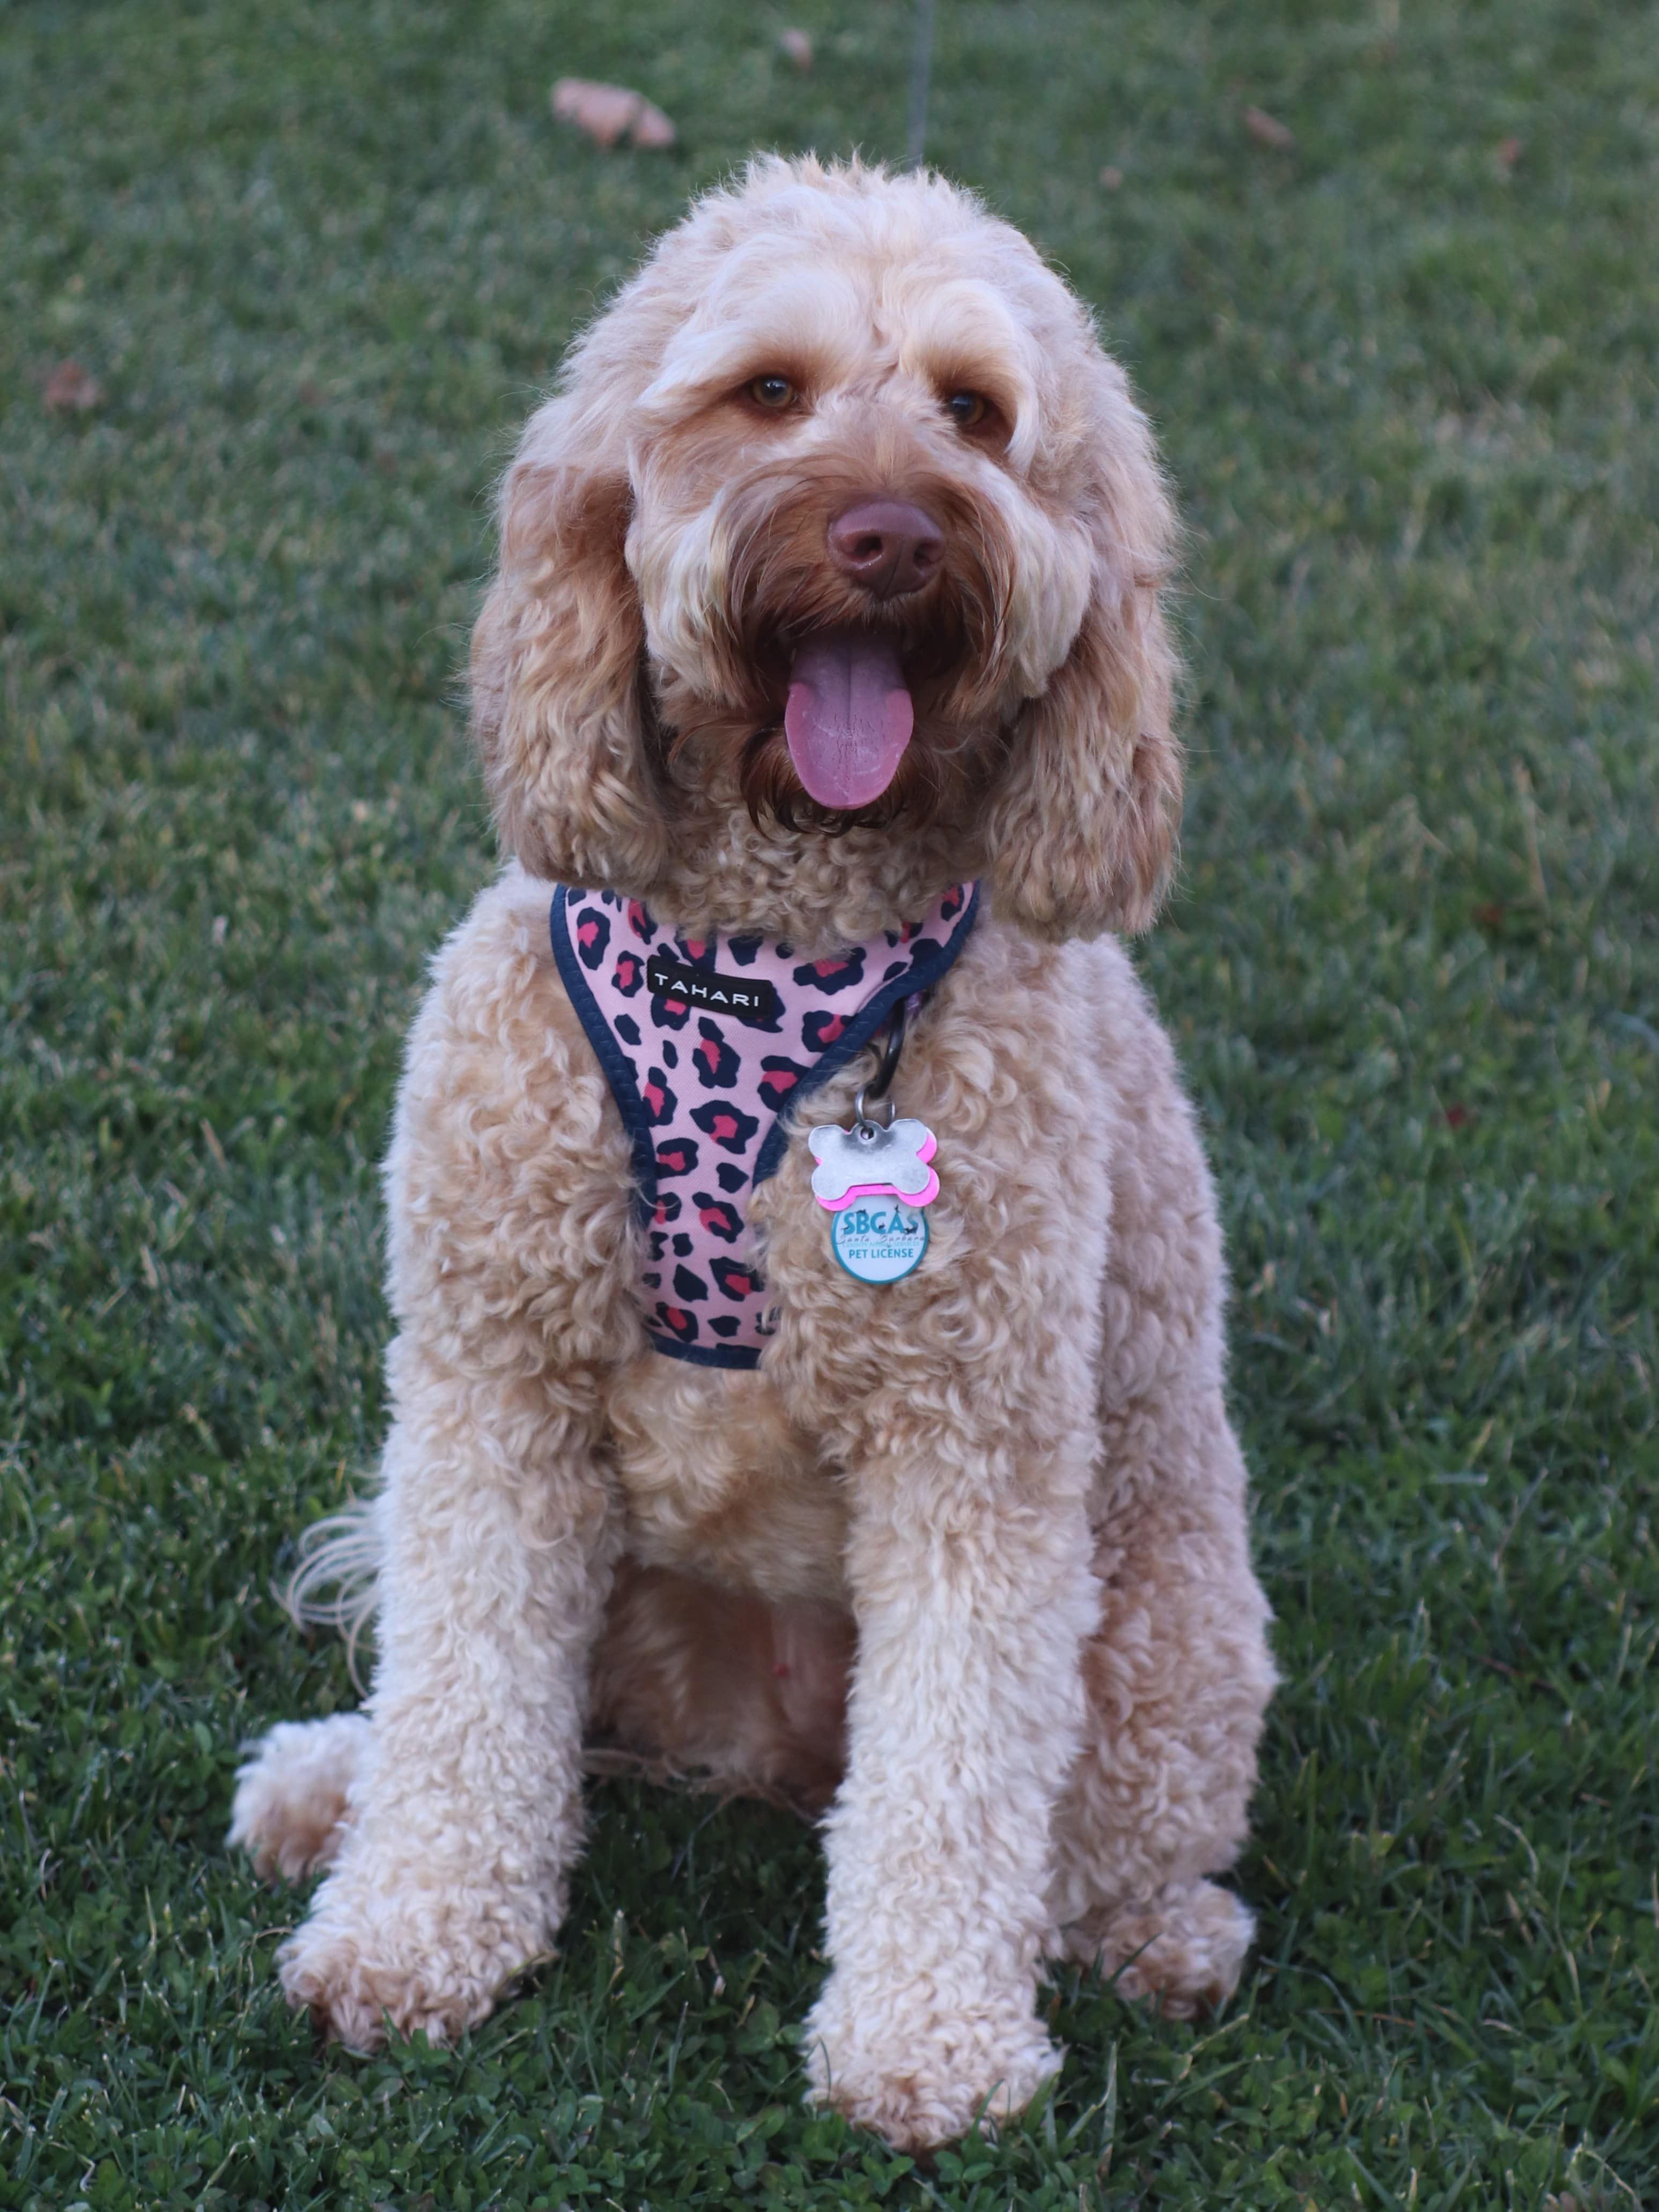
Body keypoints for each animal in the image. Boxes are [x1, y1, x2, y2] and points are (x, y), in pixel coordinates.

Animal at [227, 160, 1282, 2159]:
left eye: (974, 413)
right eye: (769, 392)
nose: (889, 534)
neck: (765, 943)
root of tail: (766, 1752)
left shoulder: (973, 1447)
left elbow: (954, 1782)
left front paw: (928, 2048)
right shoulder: (492, 1385)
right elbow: (464, 1701)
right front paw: (409, 1936)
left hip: (1165, 1643)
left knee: (1099, 1840)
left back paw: (1156, 1939)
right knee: (521, 1719)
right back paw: (329, 1784)